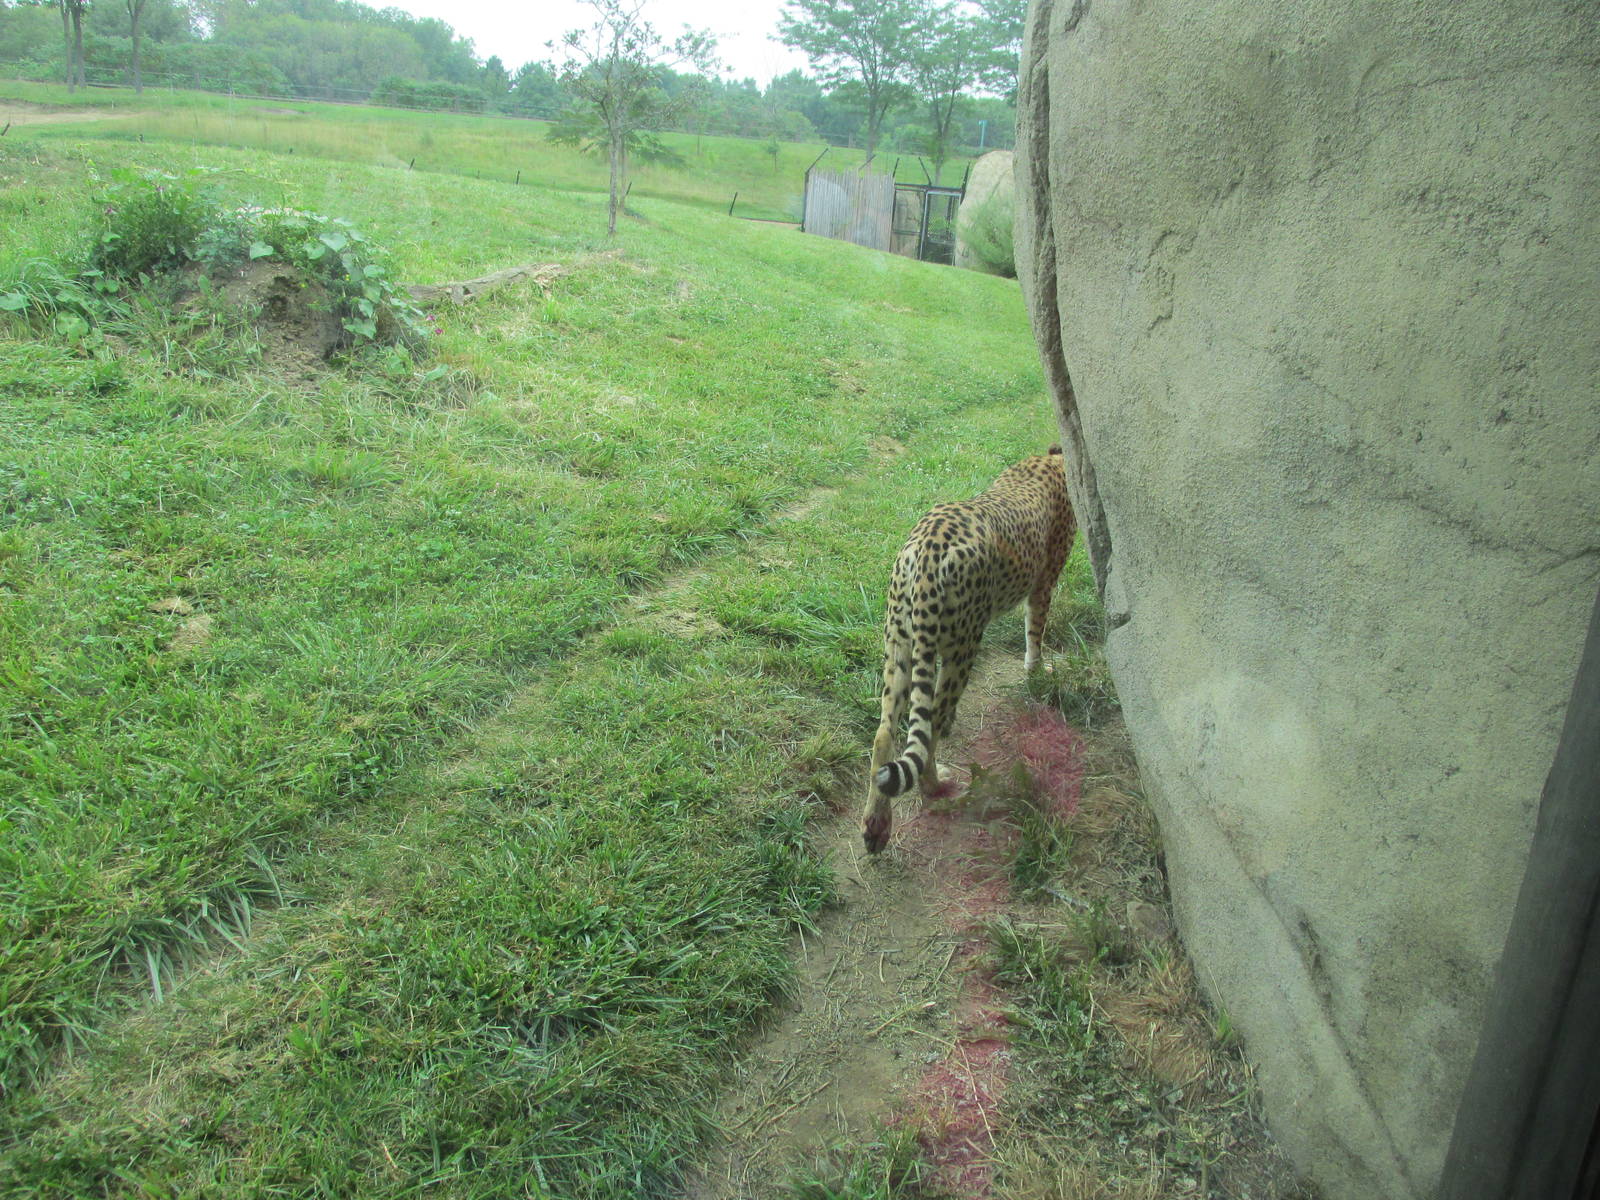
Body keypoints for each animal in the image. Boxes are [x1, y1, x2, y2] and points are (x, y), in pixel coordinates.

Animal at [862, 445, 1076, 854]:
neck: (1048, 462)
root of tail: (928, 545)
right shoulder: (1043, 584)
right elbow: (1035, 633)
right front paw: (1037, 672)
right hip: (962, 647)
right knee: (927, 727)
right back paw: (937, 786)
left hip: (898, 643)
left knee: (885, 730)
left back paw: (876, 825)